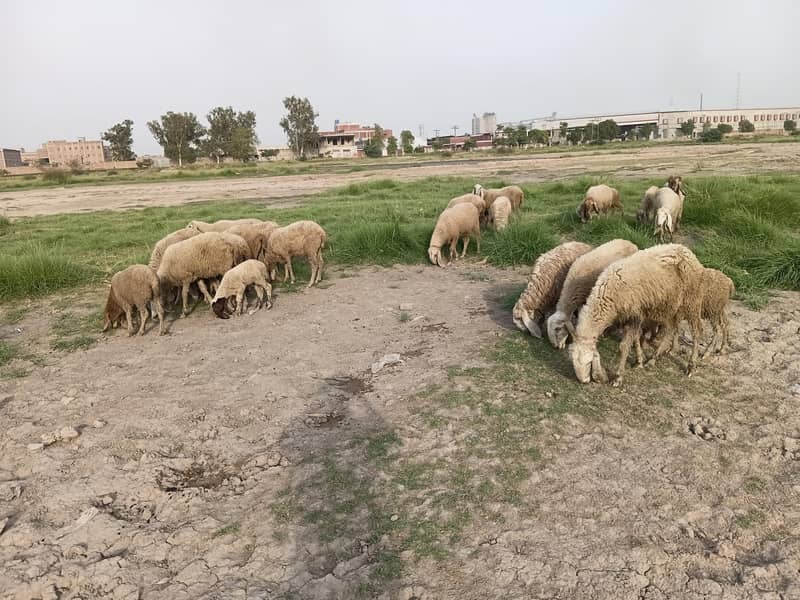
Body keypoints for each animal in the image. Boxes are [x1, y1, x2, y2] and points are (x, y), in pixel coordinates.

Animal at [567, 243, 705, 385]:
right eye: (572, 362)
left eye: (589, 362)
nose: (584, 381)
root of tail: (686, 250)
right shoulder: (633, 315)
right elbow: (636, 339)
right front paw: (639, 361)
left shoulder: (635, 314)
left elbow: (624, 346)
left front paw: (618, 377)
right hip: (668, 305)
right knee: (670, 329)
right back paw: (653, 359)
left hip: (692, 300)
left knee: (696, 331)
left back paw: (691, 366)